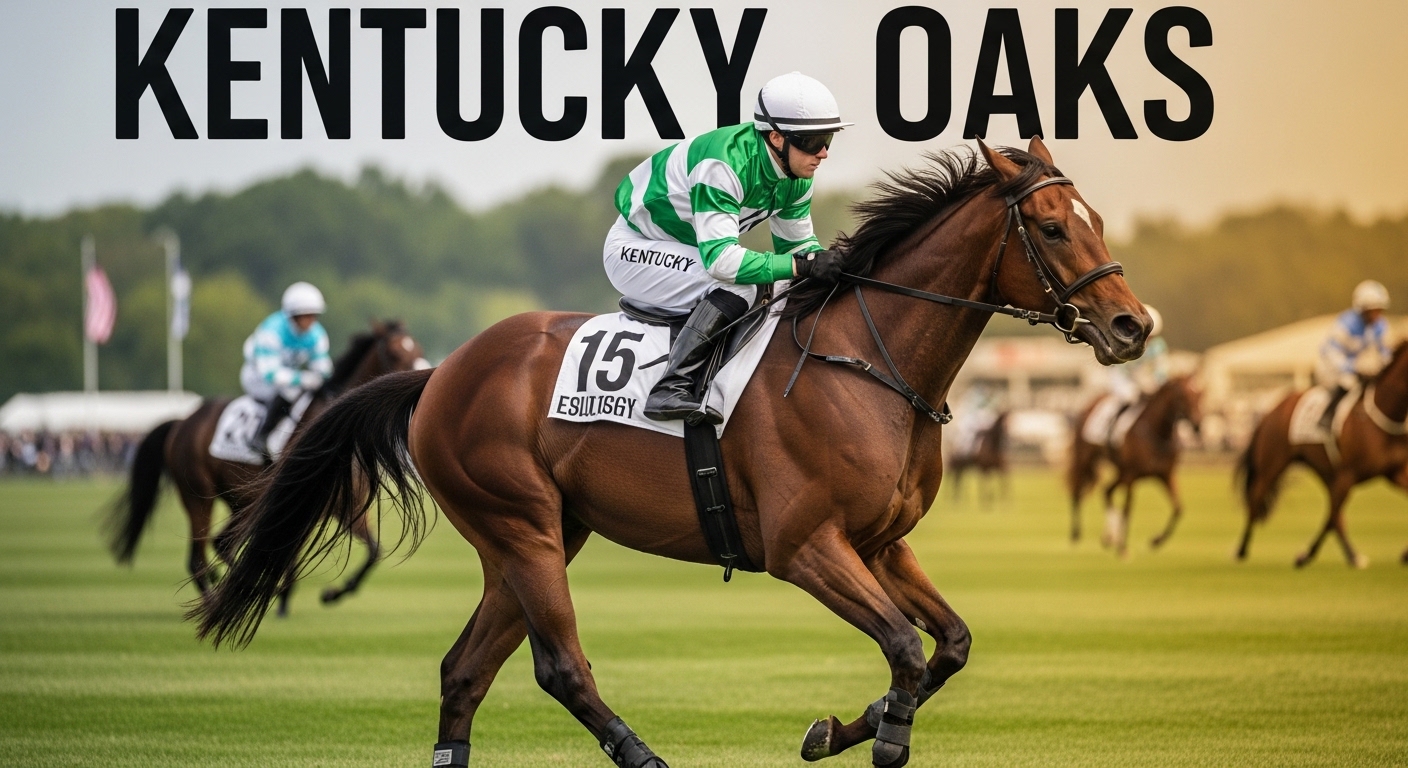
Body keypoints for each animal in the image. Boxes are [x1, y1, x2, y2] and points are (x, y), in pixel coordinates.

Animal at [105, 320, 428, 613]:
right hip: (199, 496)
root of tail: (182, 422)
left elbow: (374, 552)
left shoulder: (347, 508)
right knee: (202, 555)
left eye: (417, 347)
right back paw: (220, 598)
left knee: (222, 544)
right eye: (395, 351)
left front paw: (332, 594)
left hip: (241, 501)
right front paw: (282, 595)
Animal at [193, 138, 1150, 768]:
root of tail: (441, 373)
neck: (867, 363)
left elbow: (946, 645)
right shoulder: (804, 547)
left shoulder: (881, 543)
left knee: (465, 670)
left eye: (1097, 219)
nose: (1133, 326)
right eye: (1054, 229)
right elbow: (905, 649)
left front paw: (840, 728)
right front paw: (882, 737)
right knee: (560, 665)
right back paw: (642, 754)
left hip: (537, 535)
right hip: (523, 527)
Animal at [1067, 375, 1203, 557]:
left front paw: (1156, 540)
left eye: (1199, 394)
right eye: (1182, 396)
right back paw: (1076, 534)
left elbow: (1178, 508)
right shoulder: (1131, 476)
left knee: (1107, 491)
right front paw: (1123, 547)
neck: (1157, 432)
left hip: (1120, 472)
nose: (1197, 424)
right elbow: (1128, 509)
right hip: (1086, 459)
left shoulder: (1166, 475)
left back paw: (1109, 536)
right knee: (1077, 491)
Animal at [1235, 341, 1408, 568]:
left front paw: (1405, 554)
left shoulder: (1395, 473)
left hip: (1325, 472)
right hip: (1272, 463)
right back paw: (1241, 550)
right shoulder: (1347, 474)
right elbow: (1330, 518)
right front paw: (1304, 556)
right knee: (1255, 500)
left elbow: (1332, 517)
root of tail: (1271, 409)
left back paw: (1353, 555)